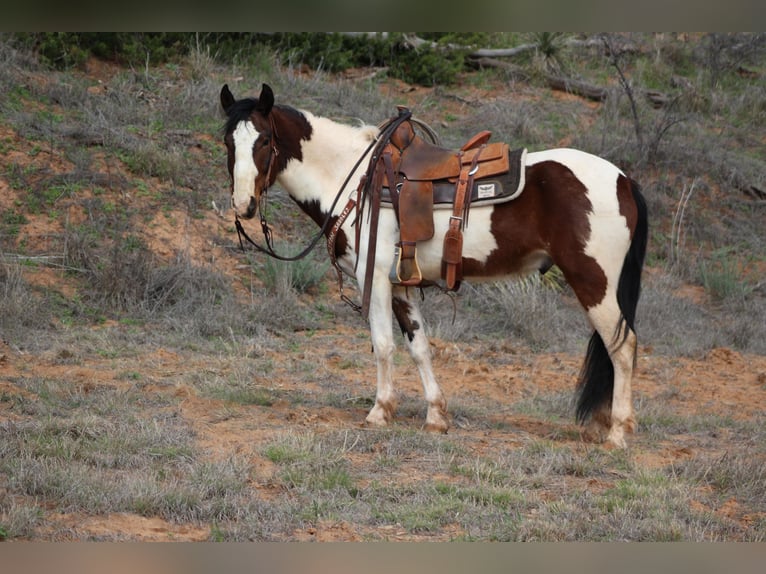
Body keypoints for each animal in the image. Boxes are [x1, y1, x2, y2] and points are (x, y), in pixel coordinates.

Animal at [220, 82, 648, 450]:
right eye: (228, 142)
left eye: (264, 140)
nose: (243, 204)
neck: (355, 180)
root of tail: (623, 179)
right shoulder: (401, 284)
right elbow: (419, 346)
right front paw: (436, 416)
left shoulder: (375, 278)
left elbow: (384, 344)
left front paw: (380, 411)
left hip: (593, 280)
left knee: (622, 346)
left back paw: (618, 433)